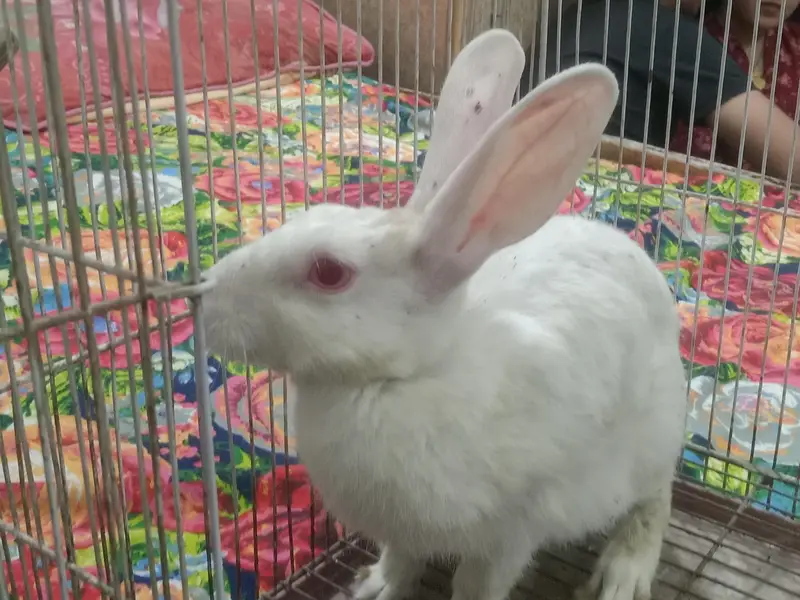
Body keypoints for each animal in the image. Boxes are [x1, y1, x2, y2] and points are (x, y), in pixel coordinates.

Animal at [202, 28, 687, 600]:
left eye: (328, 272)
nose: (204, 299)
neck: (400, 379)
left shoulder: (508, 536)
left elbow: (477, 583)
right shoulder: (402, 532)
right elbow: (400, 559)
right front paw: (374, 588)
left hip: (652, 446)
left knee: (654, 501)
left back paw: (622, 575)